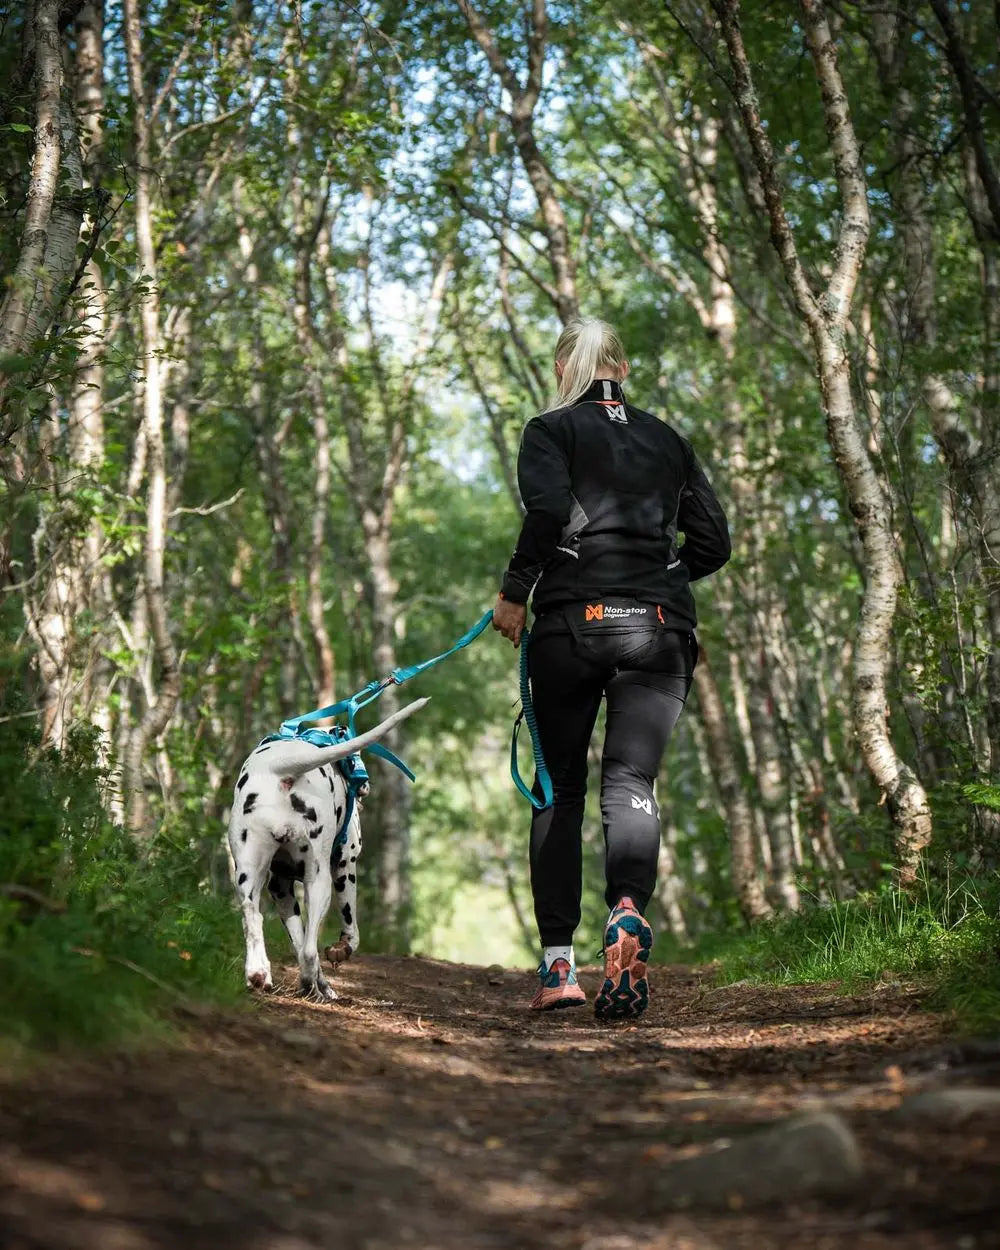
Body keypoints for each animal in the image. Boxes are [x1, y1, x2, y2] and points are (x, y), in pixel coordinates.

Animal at [228, 698, 427, 1002]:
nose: (366, 785)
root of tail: (278, 768)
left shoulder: (280, 888)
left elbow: (297, 942)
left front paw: (321, 984)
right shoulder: (345, 867)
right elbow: (350, 931)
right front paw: (338, 955)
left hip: (249, 876)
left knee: (254, 918)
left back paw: (260, 974)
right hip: (319, 881)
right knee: (310, 950)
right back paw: (308, 983)